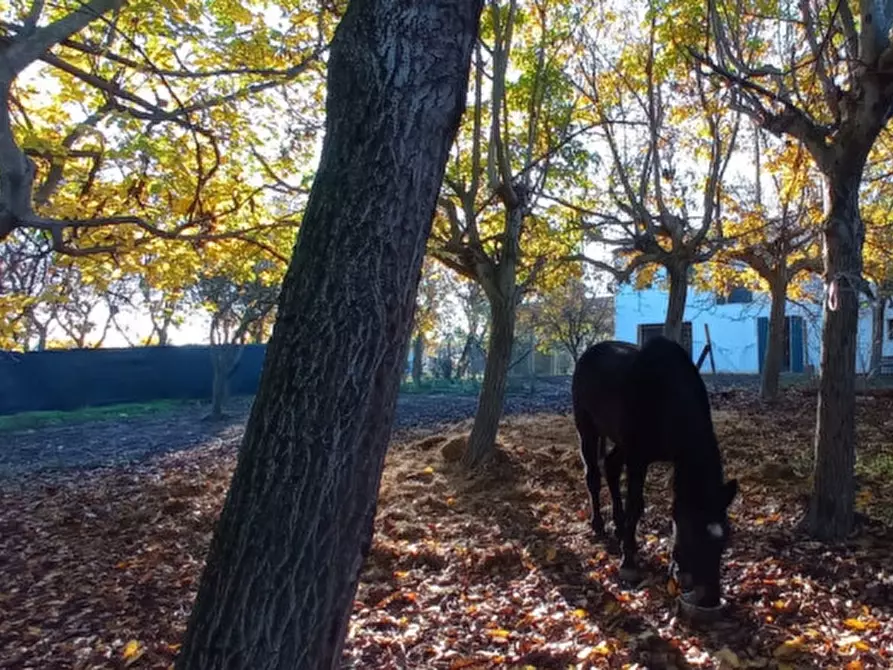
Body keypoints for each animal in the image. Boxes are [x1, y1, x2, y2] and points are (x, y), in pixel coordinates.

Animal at [572, 336, 740, 608]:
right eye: (695, 535)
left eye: (724, 538)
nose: (710, 597)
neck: (666, 396)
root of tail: (591, 351)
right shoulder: (638, 459)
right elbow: (636, 505)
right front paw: (628, 562)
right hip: (587, 428)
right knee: (594, 476)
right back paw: (598, 524)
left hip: (620, 443)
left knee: (611, 466)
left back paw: (619, 526)